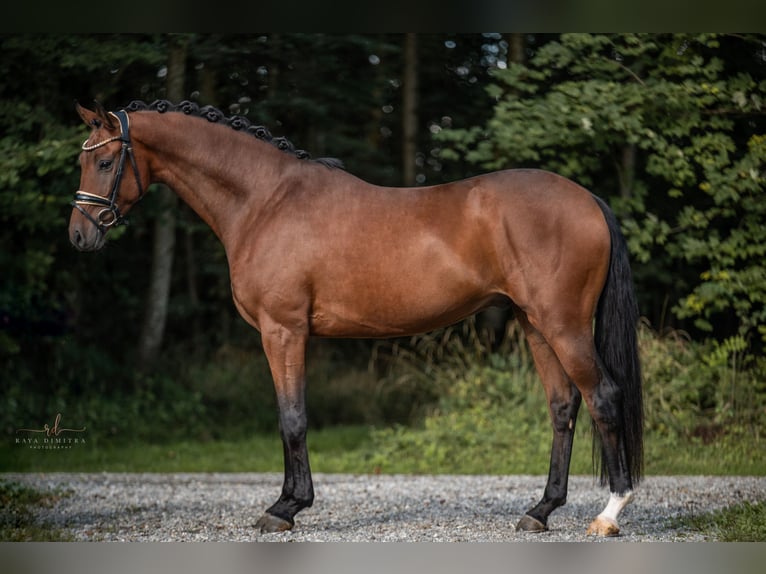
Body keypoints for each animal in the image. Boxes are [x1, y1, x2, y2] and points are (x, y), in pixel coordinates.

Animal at [69, 100, 644, 540]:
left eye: (105, 163)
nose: (79, 235)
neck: (264, 201)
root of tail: (587, 198)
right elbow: (292, 418)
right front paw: (289, 502)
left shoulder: (284, 331)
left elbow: (292, 418)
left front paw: (285, 508)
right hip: (535, 325)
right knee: (563, 407)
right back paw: (539, 511)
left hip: (563, 325)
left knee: (603, 397)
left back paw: (609, 513)